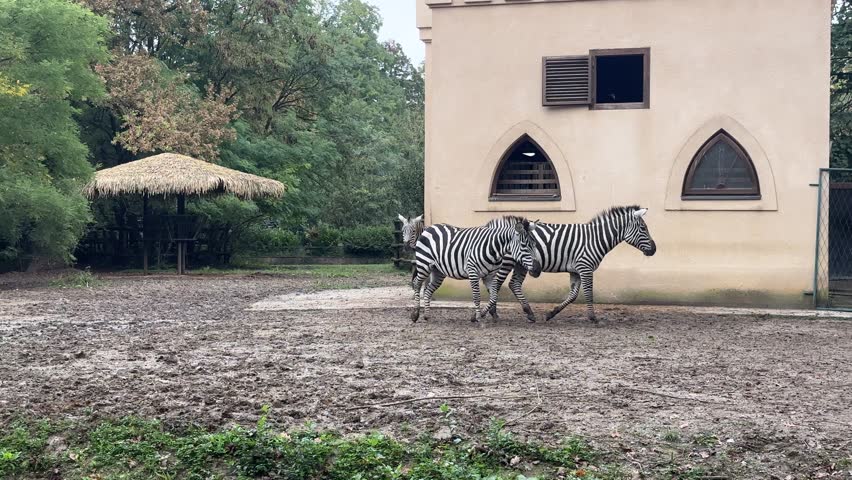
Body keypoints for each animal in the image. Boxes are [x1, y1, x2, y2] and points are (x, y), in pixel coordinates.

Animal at [410, 216, 542, 323]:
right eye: (524, 246)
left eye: (535, 244)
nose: (537, 270)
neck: (493, 249)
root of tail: (430, 227)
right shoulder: (473, 272)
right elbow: (477, 296)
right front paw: (478, 317)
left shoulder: (489, 276)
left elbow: (494, 296)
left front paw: (479, 315)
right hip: (424, 264)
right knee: (417, 283)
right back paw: (415, 314)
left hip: (438, 271)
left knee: (428, 290)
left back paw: (426, 315)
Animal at [483, 206, 656, 323]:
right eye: (643, 228)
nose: (654, 250)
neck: (595, 239)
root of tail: (492, 224)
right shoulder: (585, 267)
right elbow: (588, 293)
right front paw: (593, 317)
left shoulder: (576, 270)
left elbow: (573, 295)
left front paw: (551, 313)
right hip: (508, 261)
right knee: (497, 284)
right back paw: (493, 313)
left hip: (523, 263)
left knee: (514, 284)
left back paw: (529, 313)